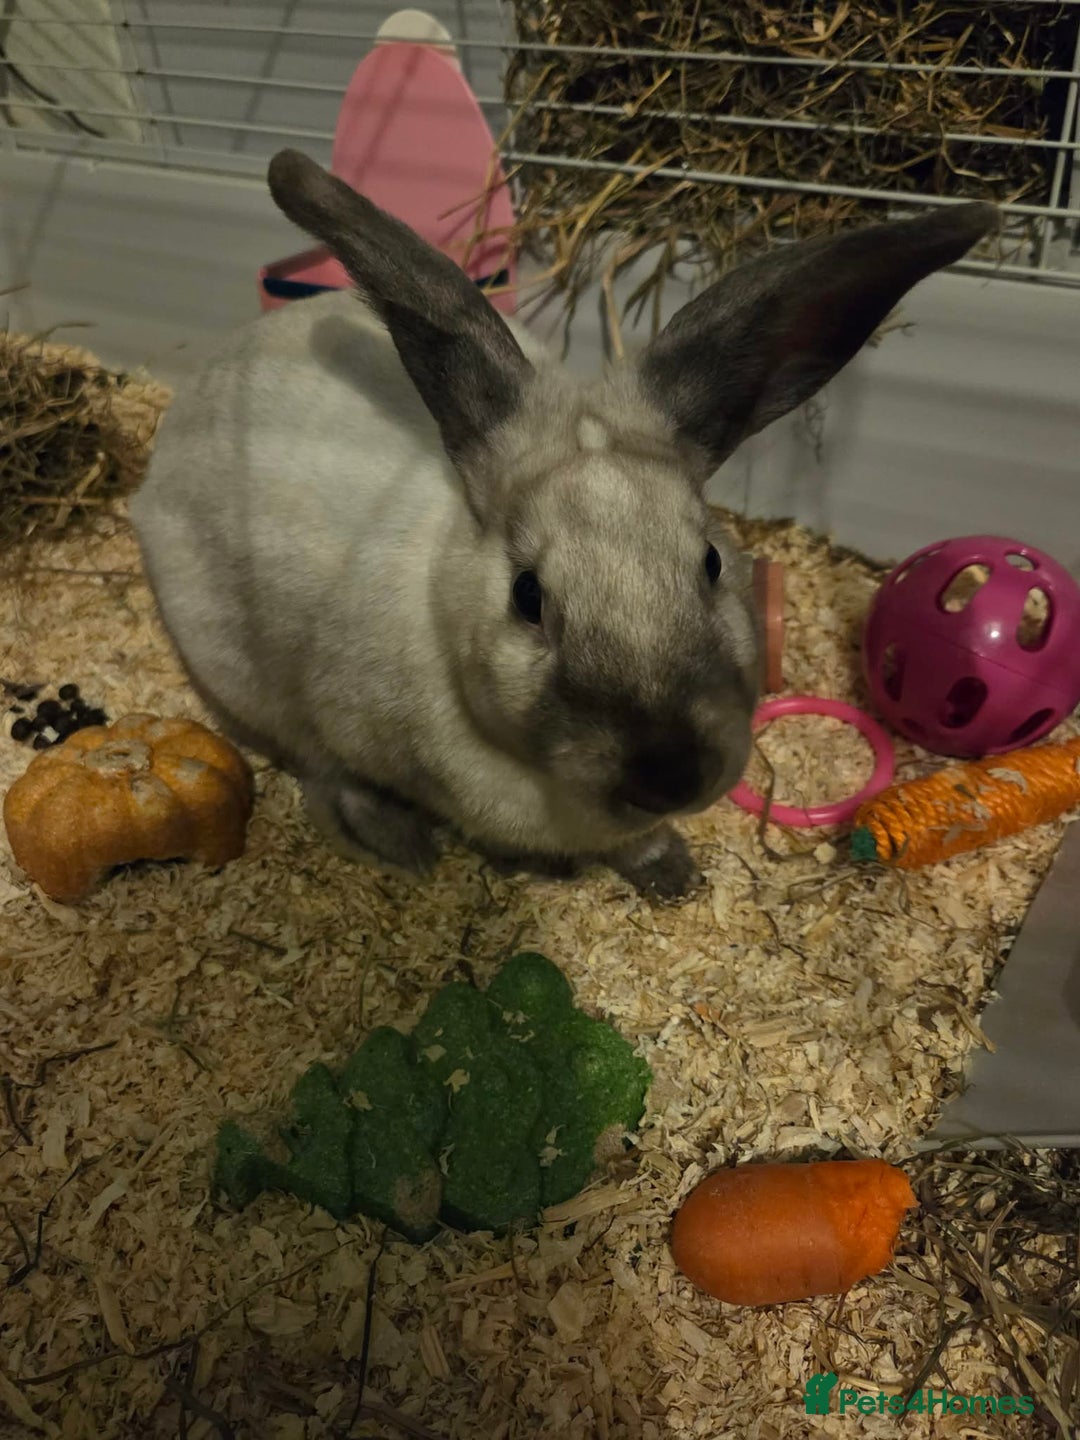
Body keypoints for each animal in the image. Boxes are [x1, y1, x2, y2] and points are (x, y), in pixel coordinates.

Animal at [129, 148, 997, 898]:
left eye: (711, 563)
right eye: (528, 596)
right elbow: (338, 772)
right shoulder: (334, 717)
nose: (669, 774)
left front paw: (670, 871)